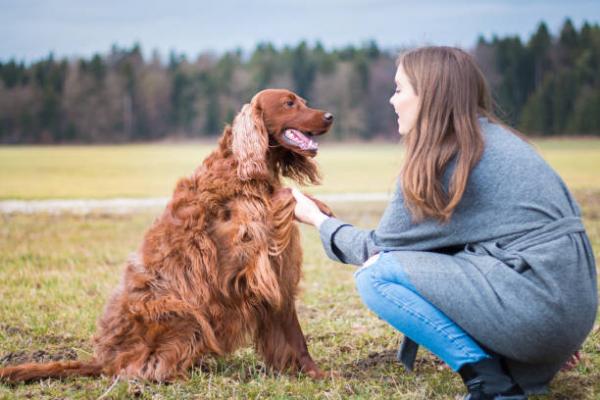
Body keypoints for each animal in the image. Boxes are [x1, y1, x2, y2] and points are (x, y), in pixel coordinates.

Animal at [0, 89, 336, 382]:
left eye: (304, 101)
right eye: (289, 103)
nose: (330, 116)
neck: (246, 172)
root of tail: (104, 359)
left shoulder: (277, 276)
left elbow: (294, 336)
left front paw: (313, 373)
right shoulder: (245, 261)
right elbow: (284, 199)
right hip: (185, 313)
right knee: (141, 369)